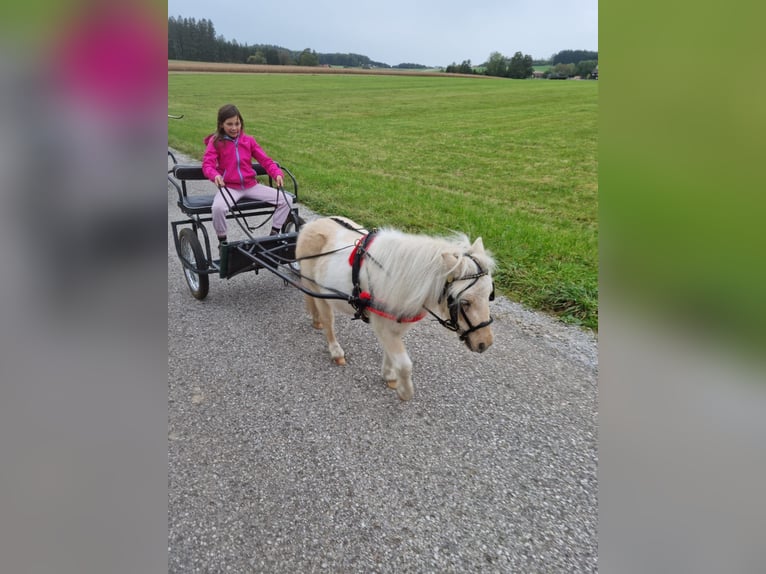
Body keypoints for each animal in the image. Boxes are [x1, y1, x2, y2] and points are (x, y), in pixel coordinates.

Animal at [294, 216, 498, 400]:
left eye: (490, 295)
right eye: (465, 302)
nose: (485, 343)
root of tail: (310, 225)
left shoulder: (396, 324)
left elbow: (390, 353)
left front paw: (390, 376)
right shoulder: (382, 325)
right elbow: (405, 364)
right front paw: (405, 391)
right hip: (318, 290)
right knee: (328, 320)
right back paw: (335, 350)